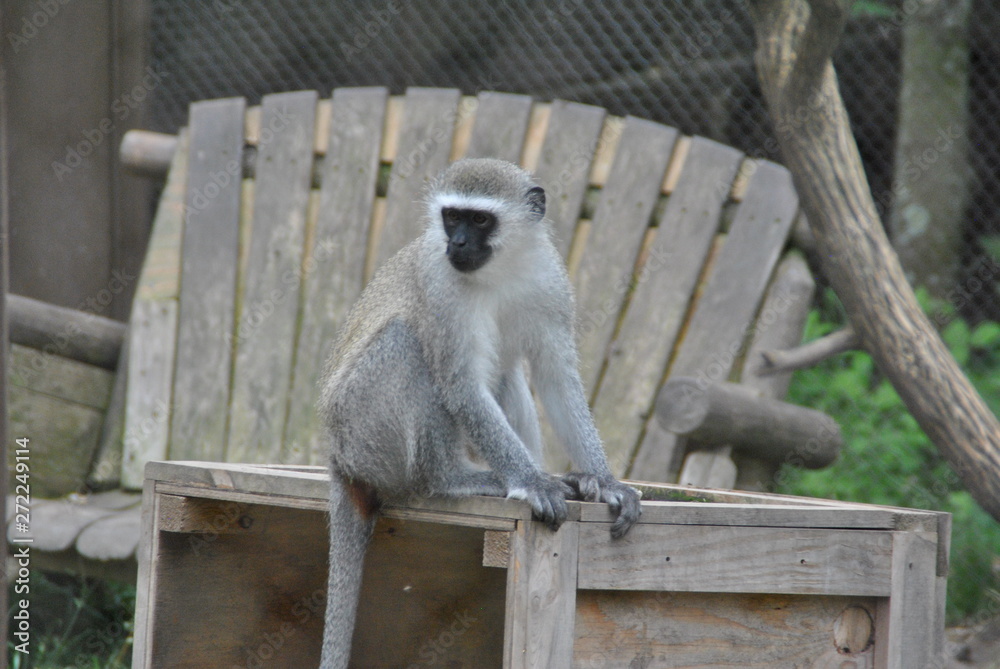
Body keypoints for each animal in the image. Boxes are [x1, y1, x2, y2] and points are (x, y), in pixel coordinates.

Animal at [318, 158, 641, 668]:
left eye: (480, 220)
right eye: (452, 217)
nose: (457, 244)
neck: (500, 269)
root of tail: (338, 457)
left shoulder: (549, 280)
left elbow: (556, 377)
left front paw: (603, 480)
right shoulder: (441, 287)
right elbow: (461, 386)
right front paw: (531, 482)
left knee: (507, 370)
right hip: (362, 431)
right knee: (406, 342)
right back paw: (453, 477)